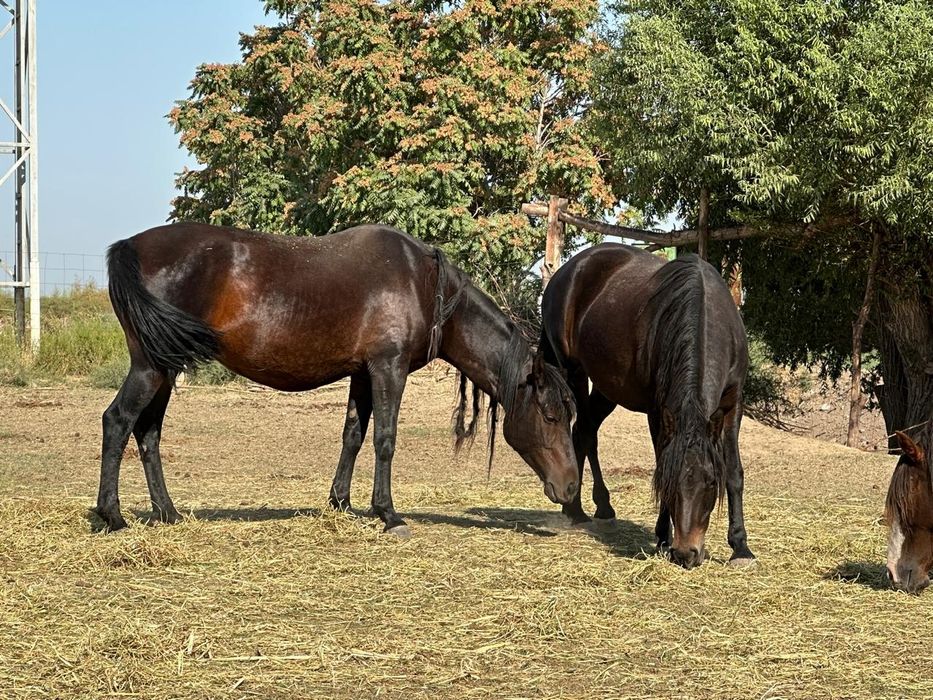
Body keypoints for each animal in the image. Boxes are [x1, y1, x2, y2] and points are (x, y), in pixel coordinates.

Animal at [97, 222, 579, 536]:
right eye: (551, 416)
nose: (572, 487)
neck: (423, 284)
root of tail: (129, 246)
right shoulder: (388, 369)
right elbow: (385, 438)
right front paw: (388, 514)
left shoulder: (362, 375)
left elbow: (353, 435)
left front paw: (341, 503)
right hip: (151, 367)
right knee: (118, 421)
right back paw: (112, 516)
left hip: (165, 369)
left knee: (148, 432)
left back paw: (167, 512)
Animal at [540, 244, 754, 568]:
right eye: (671, 483)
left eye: (710, 483)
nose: (686, 553)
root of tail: (565, 271)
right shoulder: (658, 410)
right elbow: (661, 460)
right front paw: (662, 538)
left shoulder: (732, 404)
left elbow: (734, 472)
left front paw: (741, 547)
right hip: (573, 371)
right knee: (585, 432)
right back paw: (584, 510)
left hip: (607, 389)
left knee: (583, 431)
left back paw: (588, 508)